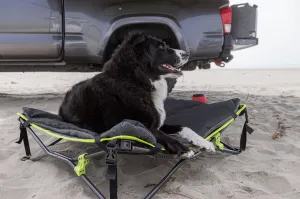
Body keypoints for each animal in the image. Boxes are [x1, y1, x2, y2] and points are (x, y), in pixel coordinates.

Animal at [58, 31, 214, 158]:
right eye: (161, 47)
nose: (187, 54)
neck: (137, 81)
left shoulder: (157, 123)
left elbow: (184, 127)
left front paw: (203, 142)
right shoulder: (138, 127)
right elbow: (163, 135)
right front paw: (184, 149)